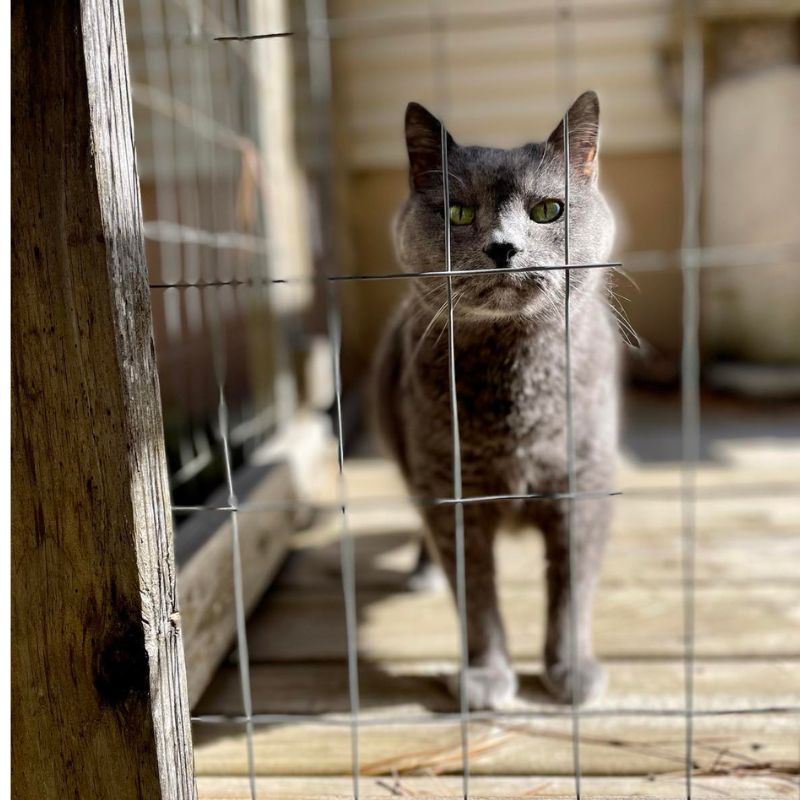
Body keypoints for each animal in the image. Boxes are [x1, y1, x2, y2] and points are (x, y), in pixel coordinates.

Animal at [372, 90, 620, 708]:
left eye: (548, 210)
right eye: (459, 213)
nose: (503, 246)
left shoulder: (585, 480)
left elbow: (572, 585)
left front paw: (571, 668)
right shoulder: (448, 485)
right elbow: (476, 591)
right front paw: (486, 677)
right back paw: (422, 572)